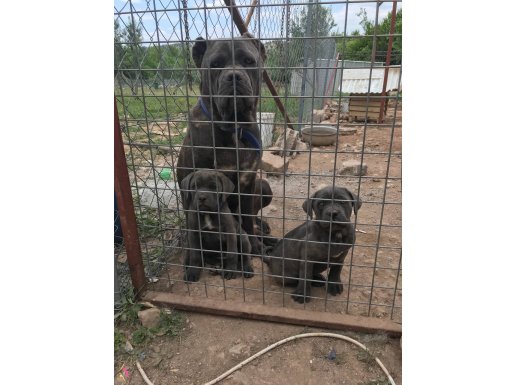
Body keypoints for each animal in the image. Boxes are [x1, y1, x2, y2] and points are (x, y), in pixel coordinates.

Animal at [177, 33, 268, 276]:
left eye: (248, 61)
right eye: (216, 64)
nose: (234, 76)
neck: (234, 126)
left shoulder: (248, 181)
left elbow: (246, 219)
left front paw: (255, 245)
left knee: (253, 217)